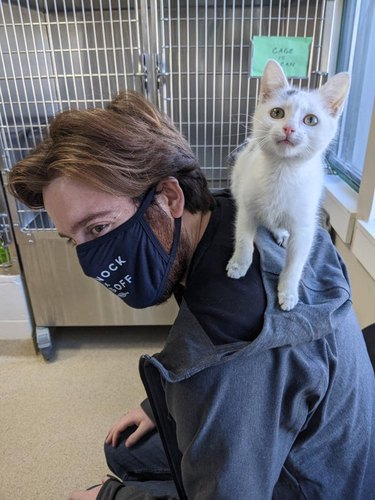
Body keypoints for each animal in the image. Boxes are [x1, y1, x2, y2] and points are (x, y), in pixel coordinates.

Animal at [226, 60, 352, 310]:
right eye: (277, 113)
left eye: (311, 120)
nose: (288, 129)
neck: (282, 172)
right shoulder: (247, 209)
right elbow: (244, 239)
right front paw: (239, 264)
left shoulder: (305, 226)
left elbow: (296, 262)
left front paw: (288, 292)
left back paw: (281, 233)